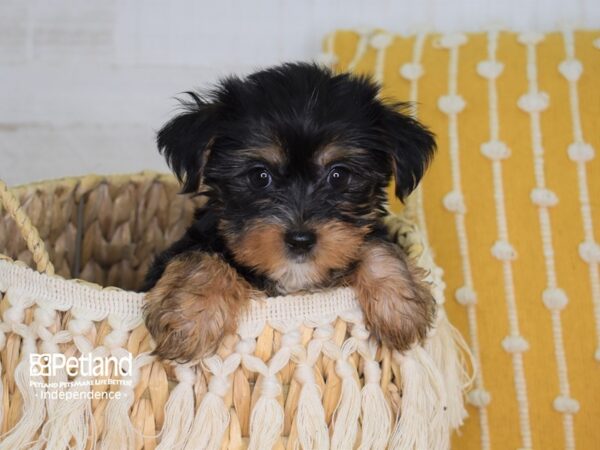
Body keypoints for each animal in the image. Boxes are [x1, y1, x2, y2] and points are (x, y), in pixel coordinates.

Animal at [144, 61, 438, 362]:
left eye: (339, 176)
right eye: (260, 176)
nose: (300, 240)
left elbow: (377, 243)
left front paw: (399, 307)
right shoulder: (195, 240)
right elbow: (198, 256)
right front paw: (191, 317)